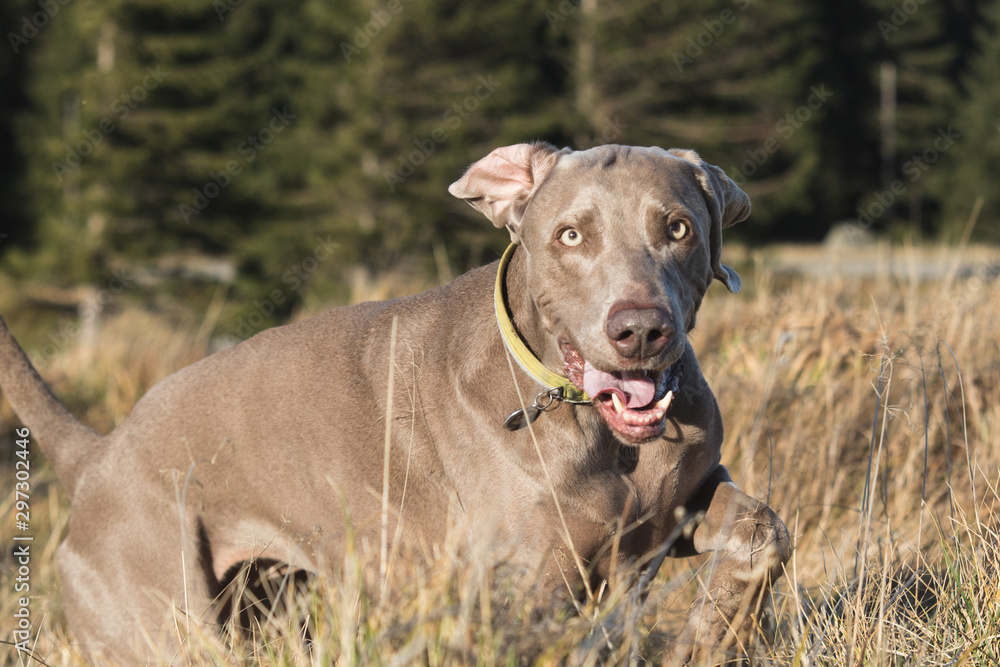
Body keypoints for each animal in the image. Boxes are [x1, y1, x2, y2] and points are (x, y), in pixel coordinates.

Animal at [0, 141, 788, 664]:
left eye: (678, 227)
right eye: (571, 235)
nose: (641, 330)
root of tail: (96, 454)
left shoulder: (677, 503)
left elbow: (764, 529)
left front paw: (709, 637)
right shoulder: (525, 581)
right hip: (165, 620)